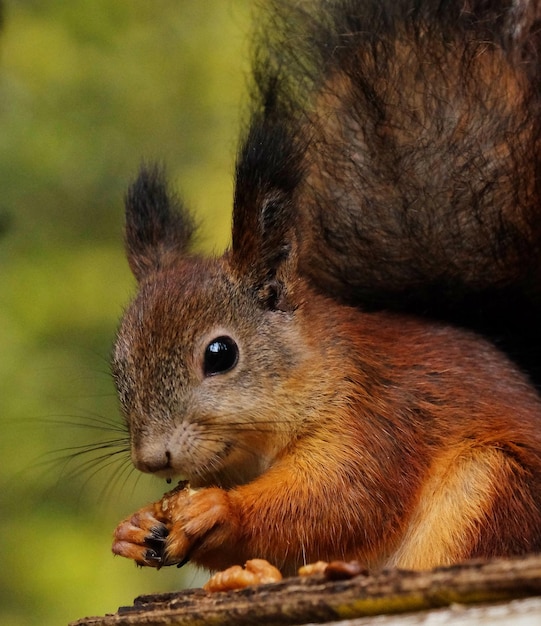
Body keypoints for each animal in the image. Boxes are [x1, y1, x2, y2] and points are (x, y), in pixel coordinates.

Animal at [110, 1, 541, 576]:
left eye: (221, 354)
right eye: (119, 370)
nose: (153, 458)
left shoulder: (377, 414)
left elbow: (344, 499)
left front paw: (222, 510)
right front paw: (135, 529)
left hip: (494, 486)